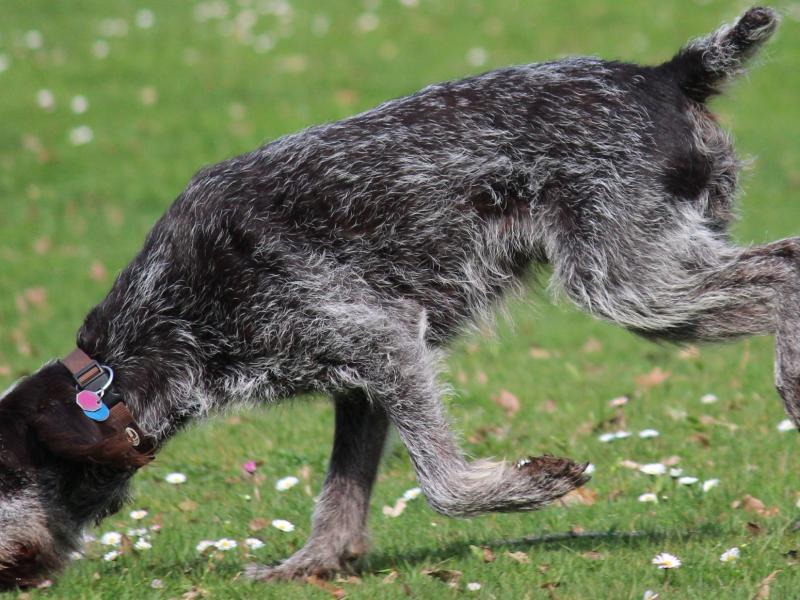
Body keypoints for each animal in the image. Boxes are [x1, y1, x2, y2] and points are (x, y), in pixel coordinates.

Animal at [0, 7, 792, 588]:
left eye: (4, 474)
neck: (157, 325)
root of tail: (666, 75)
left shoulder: (383, 341)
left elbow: (441, 483)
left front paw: (526, 488)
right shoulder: (361, 378)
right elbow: (341, 491)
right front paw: (315, 563)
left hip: (630, 285)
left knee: (786, 270)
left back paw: (792, 382)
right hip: (660, 272)